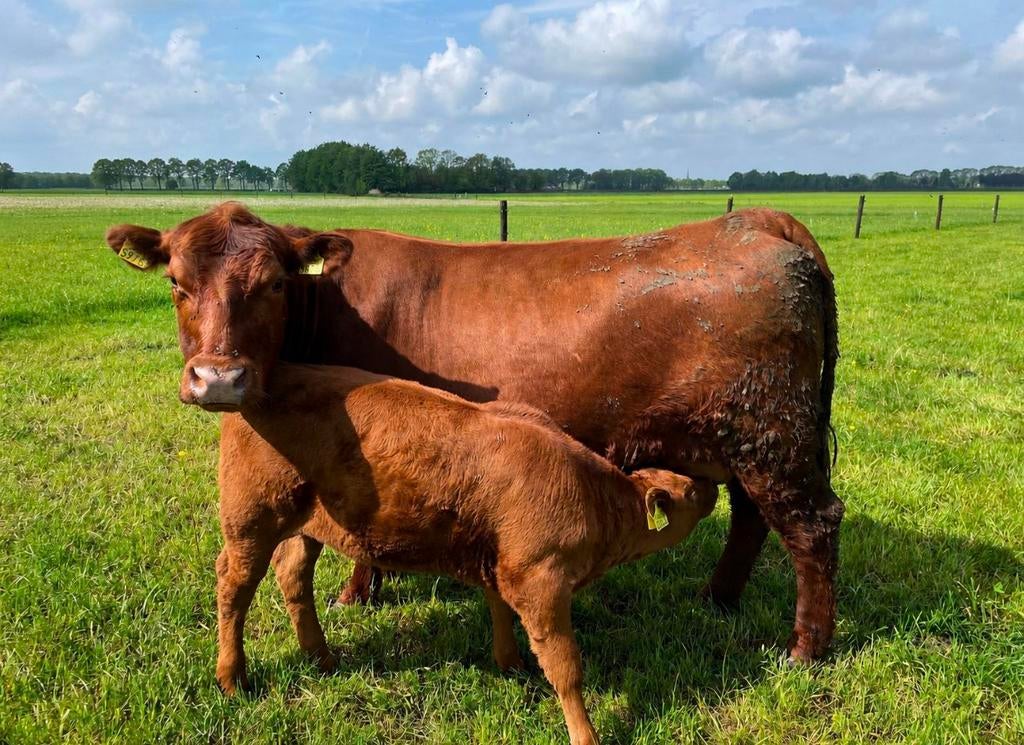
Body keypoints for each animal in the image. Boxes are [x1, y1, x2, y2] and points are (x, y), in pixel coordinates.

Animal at [105, 200, 842, 662]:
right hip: (747, 439)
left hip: (772, 434)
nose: (218, 378)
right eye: (177, 283)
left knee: (811, 527)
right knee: (753, 519)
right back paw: (717, 599)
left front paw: (357, 592)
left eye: (274, 285)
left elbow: (356, 528)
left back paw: (804, 648)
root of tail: (755, 222)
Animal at [212, 361, 717, 745]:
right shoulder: (540, 581)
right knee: (234, 587)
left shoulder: (499, 560)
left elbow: (499, 610)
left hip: (304, 524)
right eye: (690, 491)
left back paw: (322, 658)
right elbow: (566, 667)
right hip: (250, 519)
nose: (714, 486)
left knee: (294, 574)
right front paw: (585, 734)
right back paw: (232, 679)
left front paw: (511, 664)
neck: (591, 496)